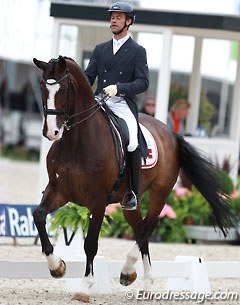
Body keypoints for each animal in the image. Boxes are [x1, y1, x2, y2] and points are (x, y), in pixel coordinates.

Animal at [32, 55, 233, 300]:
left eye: (63, 89)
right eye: (43, 87)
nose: (51, 132)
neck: (77, 142)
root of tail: (171, 133)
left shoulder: (98, 201)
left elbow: (90, 244)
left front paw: (84, 287)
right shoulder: (58, 191)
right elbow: (39, 216)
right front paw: (57, 266)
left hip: (160, 193)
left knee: (148, 228)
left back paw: (129, 271)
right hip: (129, 201)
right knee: (139, 229)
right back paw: (142, 281)